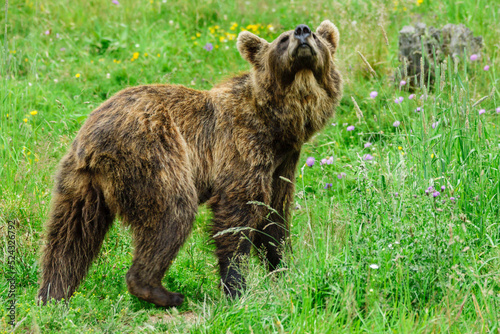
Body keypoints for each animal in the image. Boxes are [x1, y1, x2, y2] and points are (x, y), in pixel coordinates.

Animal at [38, 20, 344, 308]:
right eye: (282, 39)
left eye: (316, 36)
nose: (302, 30)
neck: (277, 124)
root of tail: (91, 137)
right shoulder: (241, 147)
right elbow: (237, 214)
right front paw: (237, 287)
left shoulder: (282, 162)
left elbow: (274, 217)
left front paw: (283, 270)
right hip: (153, 151)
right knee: (172, 212)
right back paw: (163, 292)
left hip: (79, 184)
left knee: (70, 237)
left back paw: (52, 295)